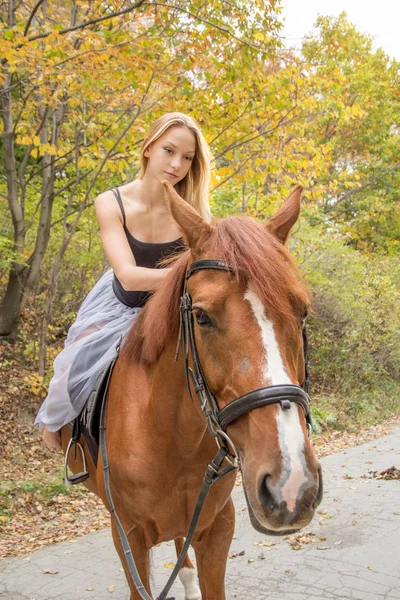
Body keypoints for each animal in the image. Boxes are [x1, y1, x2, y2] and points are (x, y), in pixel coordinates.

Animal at [61, 183, 322, 600]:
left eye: (302, 312)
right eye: (201, 316)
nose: (291, 485)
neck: (170, 437)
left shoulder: (217, 527)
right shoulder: (128, 537)